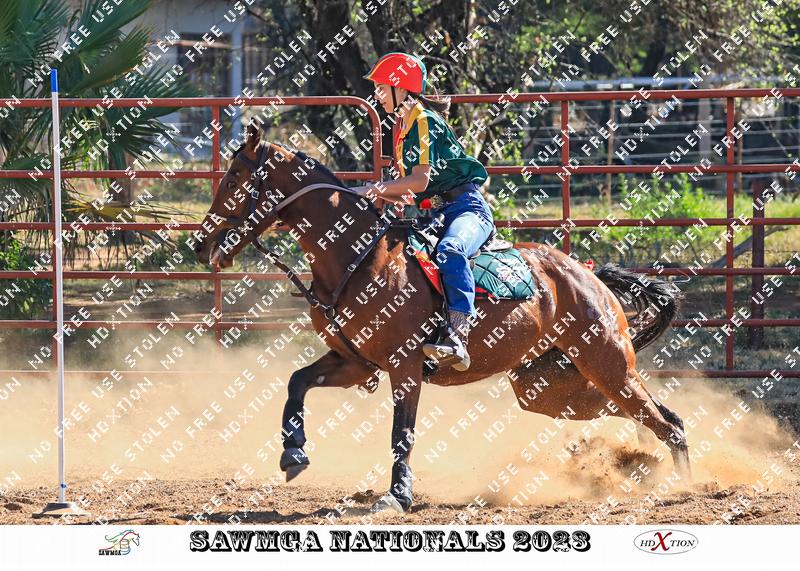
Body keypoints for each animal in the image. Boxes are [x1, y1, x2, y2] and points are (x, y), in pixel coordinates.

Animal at [193, 124, 691, 514]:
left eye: (235, 176)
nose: (201, 244)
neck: (359, 258)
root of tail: (590, 276)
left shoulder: (405, 366)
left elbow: (402, 433)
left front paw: (397, 496)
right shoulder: (353, 362)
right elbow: (296, 382)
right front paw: (293, 453)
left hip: (606, 362)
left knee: (664, 421)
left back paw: (683, 485)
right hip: (550, 386)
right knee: (657, 416)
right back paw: (646, 466)